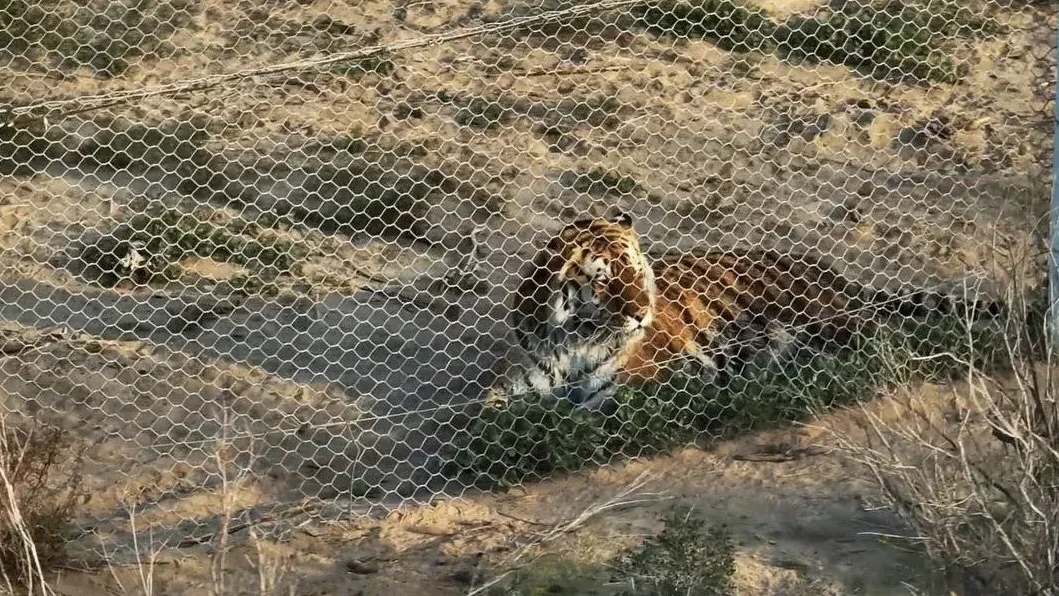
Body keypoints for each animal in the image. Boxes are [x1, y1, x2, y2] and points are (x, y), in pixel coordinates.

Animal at [485, 211, 1006, 411]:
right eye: (601, 280)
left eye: (634, 270)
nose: (641, 314)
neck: (573, 338)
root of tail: (829, 271)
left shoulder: (656, 380)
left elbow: (593, 408)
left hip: (825, 320)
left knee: (882, 341)